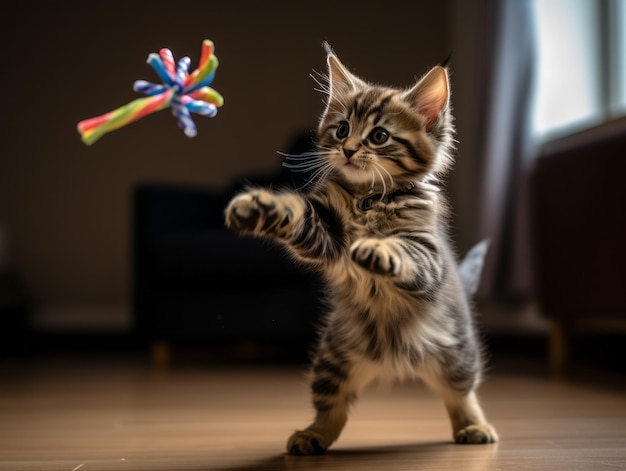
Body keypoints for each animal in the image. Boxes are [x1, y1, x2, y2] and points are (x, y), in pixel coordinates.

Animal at [224, 45, 498, 458]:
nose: (349, 150)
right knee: (333, 408)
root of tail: (391, 361)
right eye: (341, 129)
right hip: (332, 358)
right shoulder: (326, 232)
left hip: (456, 354)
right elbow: (295, 210)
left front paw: (376, 249)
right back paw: (312, 435)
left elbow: (402, 249)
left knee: (461, 393)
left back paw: (475, 426)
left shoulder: (428, 251)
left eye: (379, 136)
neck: (368, 198)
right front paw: (261, 207)